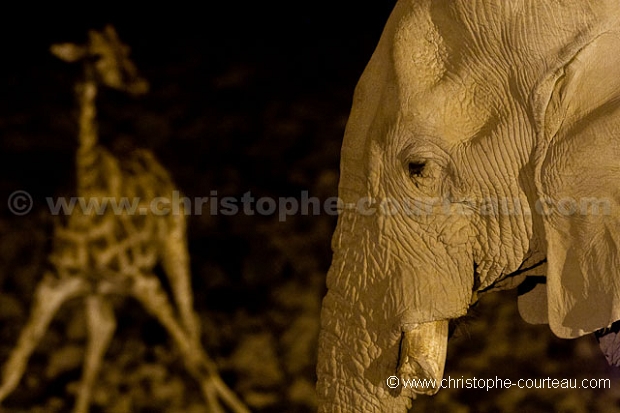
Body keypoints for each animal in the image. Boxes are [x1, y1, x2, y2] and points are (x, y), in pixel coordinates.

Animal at [1, 25, 249, 412]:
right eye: (95, 56)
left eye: (127, 50)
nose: (138, 83)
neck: (86, 196)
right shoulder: (53, 285)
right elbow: (12, 370)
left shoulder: (143, 281)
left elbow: (193, 359)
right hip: (97, 290)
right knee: (104, 331)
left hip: (174, 244)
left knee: (191, 330)